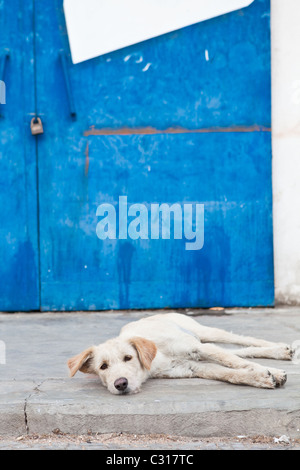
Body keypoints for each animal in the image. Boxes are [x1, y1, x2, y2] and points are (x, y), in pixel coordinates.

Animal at [67, 314, 292, 394]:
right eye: (103, 367)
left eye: (128, 358)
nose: (120, 384)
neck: (155, 359)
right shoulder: (193, 367)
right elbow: (230, 373)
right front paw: (259, 377)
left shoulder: (197, 348)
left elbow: (234, 362)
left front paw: (266, 373)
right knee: (242, 351)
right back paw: (279, 352)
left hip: (204, 333)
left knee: (243, 341)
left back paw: (281, 348)